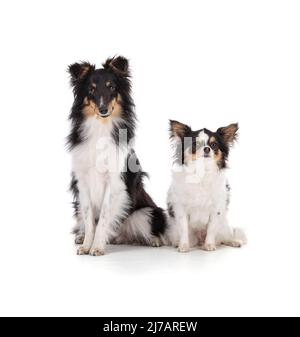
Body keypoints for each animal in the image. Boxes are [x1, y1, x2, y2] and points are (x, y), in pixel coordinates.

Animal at [66, 55, 168, 255]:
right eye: (91, 90)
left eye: (111, 87)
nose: (103, 110)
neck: (101, 126)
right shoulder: (83, 182)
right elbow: (90, 218)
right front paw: (86, 245)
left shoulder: (114, 182)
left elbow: (104, 217)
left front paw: (97, 246)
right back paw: (82, 236)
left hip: (147, 213)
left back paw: (154, 240)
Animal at [166, 119, 246, 251]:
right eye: (196, 144)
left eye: (213, 145)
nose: (207, 149)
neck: (202, 172)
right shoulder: (180, 208)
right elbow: (183, 228)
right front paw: (184, 246)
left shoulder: (216, 209)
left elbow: (211, 228)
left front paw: (209, 245)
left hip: (223, 226)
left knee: (224, 237)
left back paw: (233, 242)